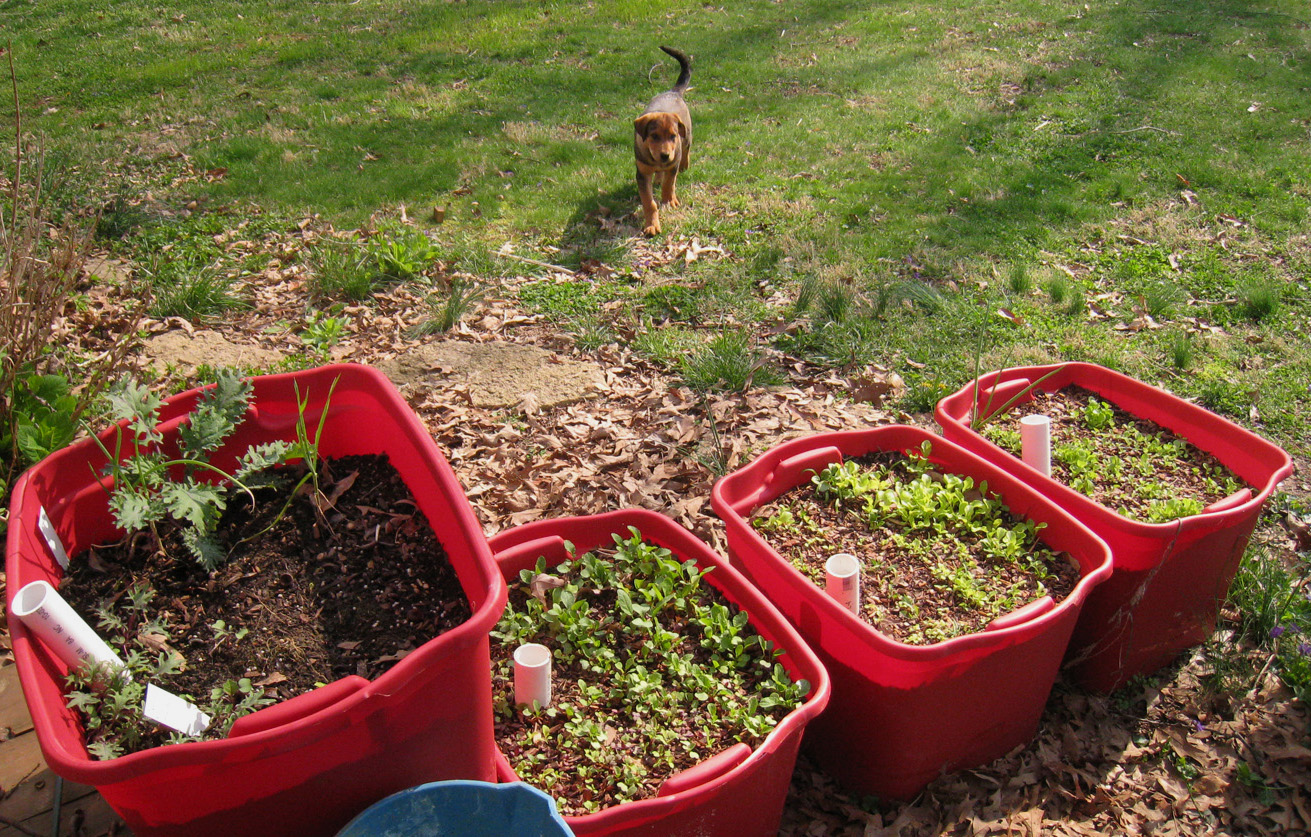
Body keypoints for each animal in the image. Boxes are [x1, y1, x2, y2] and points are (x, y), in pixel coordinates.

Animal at [631, 47, 692, 236]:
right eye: (654, 136)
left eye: (673, 136)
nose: (665, 156)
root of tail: (673, 92)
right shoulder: (642, 174)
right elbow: (649, 202)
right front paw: (651, 225)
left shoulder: (672, 164)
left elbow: (669, 184)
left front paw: (669, 200)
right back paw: (658, 176)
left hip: (687, 135)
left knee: (687, 150)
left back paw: (684, 165)